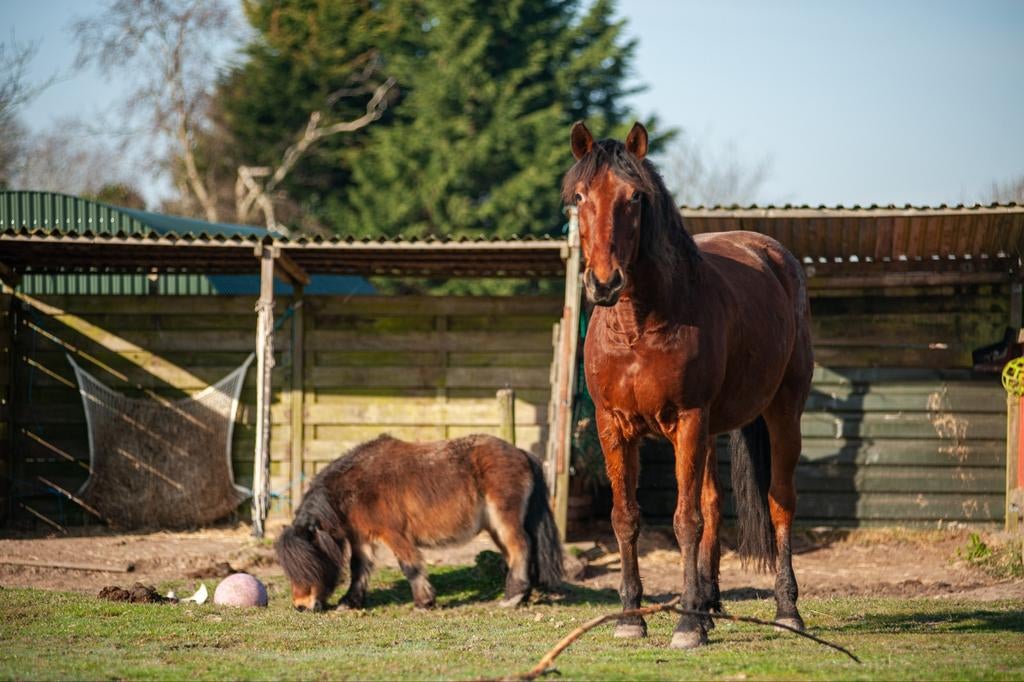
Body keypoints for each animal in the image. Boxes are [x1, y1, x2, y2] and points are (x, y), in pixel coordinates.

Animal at [275, 434, 564, 612]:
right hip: (495, 527)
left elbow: (410, 566)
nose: (300, 606)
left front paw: (424, 602)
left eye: (309, 564)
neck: (356, 487)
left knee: (521, 548)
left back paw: (512, 597)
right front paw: (350, 601)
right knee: (514, 554)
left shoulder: (394, 535)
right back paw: (521, 595)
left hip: (505, 520)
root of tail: (521, 453)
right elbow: (359, 569)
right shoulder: (361, 538)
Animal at [562, 121, 813, 649]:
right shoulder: (613, 426)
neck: (638, 326)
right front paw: (631, 618)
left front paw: (686, 626)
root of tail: (774, 256)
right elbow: (626, 518)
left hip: (782, 413)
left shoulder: (689, 421)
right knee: (715, 505)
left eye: (635, 197)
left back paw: (786, 610)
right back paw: (710, 604)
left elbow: (685, 521)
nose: (604, 283)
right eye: (579, 197)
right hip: (713, 430)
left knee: (780, 502)